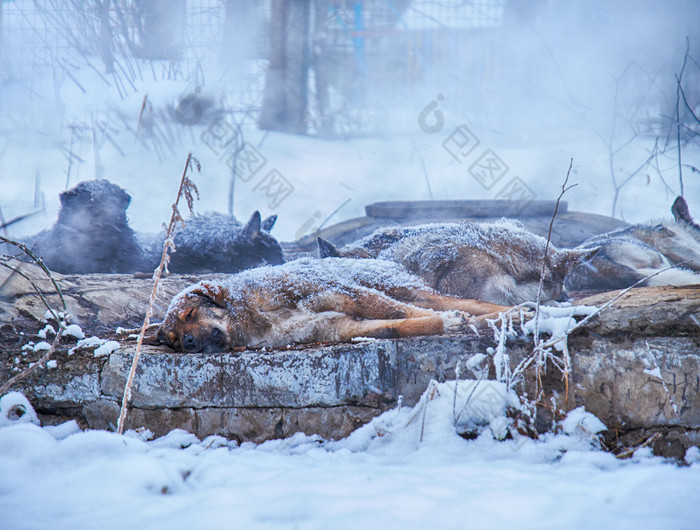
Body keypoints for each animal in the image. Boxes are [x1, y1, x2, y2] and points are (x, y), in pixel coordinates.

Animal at [159, 256, 516, 350]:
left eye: (191, 312)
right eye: (174, 340)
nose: (188, 343)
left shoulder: (348, 296)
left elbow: (404, 313)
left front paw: (451, 321)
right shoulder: (338, 326)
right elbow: (399, 327)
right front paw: (445, 324)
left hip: (403, 289)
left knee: (469, 303)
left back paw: (514, 311)